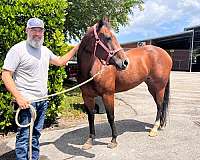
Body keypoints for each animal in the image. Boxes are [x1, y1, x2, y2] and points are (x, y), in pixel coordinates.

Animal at [76, 18, 172, 150]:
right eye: (108, 37)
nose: (125, 62)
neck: (94, 69)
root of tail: (166, 54)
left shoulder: (108, 95)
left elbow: (111, 116)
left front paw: (113, 140)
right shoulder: (87, 96)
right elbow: (91, 116)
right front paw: (90, 140)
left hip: (159, 87)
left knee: (159, 105)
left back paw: (154, 129)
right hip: (152, 88)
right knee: (160, 105)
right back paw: (160, 125)